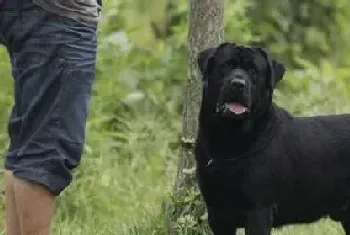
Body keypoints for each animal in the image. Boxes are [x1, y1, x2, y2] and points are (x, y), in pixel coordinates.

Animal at [196, 42, 350, 235]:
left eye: (253, 71)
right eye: (226, 65)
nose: (238, 84)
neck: (230, 140)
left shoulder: (258, 211)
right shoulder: (218, 213)